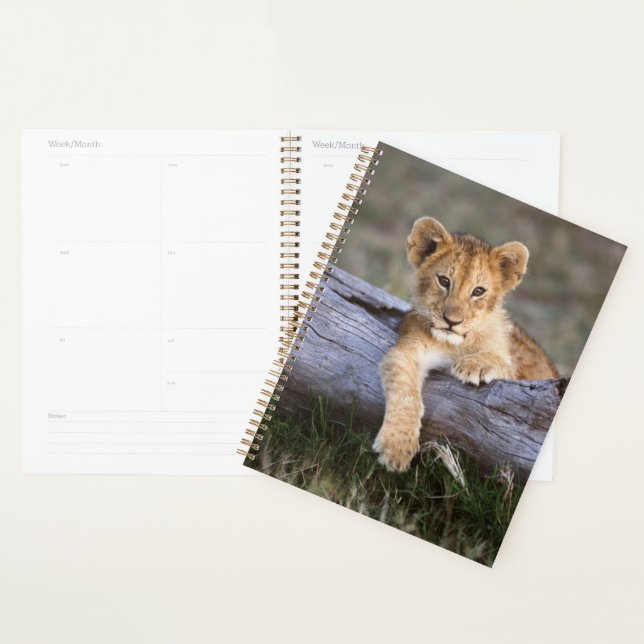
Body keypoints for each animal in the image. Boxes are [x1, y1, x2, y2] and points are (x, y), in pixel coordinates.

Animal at [373, 217, 558, 472]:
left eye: (478, 291)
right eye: (444, 281)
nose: (452, 321)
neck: (456, 344)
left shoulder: (518, 373)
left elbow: (503, 363)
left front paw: (474, 366)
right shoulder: (409, 349)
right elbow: (406, 394)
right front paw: (396, 448)